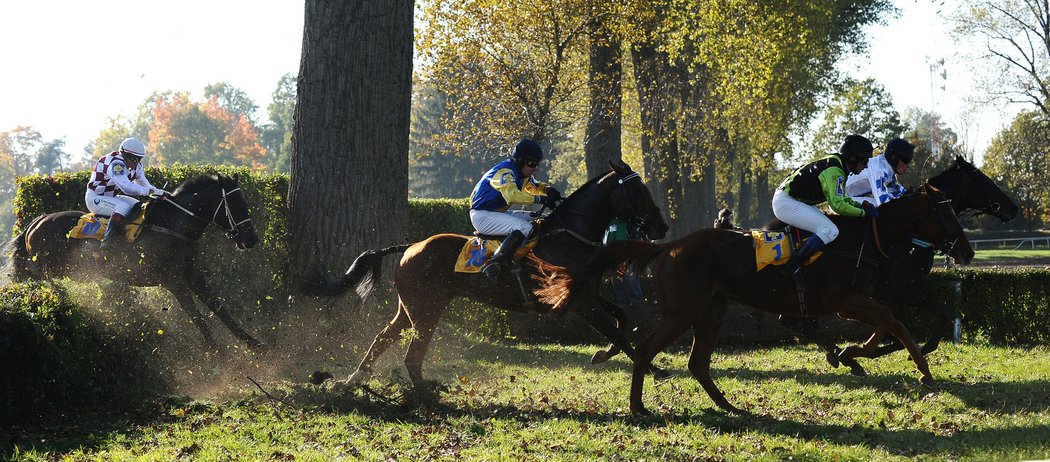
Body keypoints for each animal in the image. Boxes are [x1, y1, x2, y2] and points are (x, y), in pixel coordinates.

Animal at [541, 183, 974, 415]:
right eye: (947, 215)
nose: (968, 251)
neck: (861, 239)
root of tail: (669, 246)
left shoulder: (856, 297)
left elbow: (890, 321)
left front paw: (876, 359)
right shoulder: (841, 298)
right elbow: (890, 319)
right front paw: (871, 356)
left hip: (713, 309)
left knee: (698, 362)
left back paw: (729, 406)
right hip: (684, 311)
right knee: (648, 349)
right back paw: (637, 407)